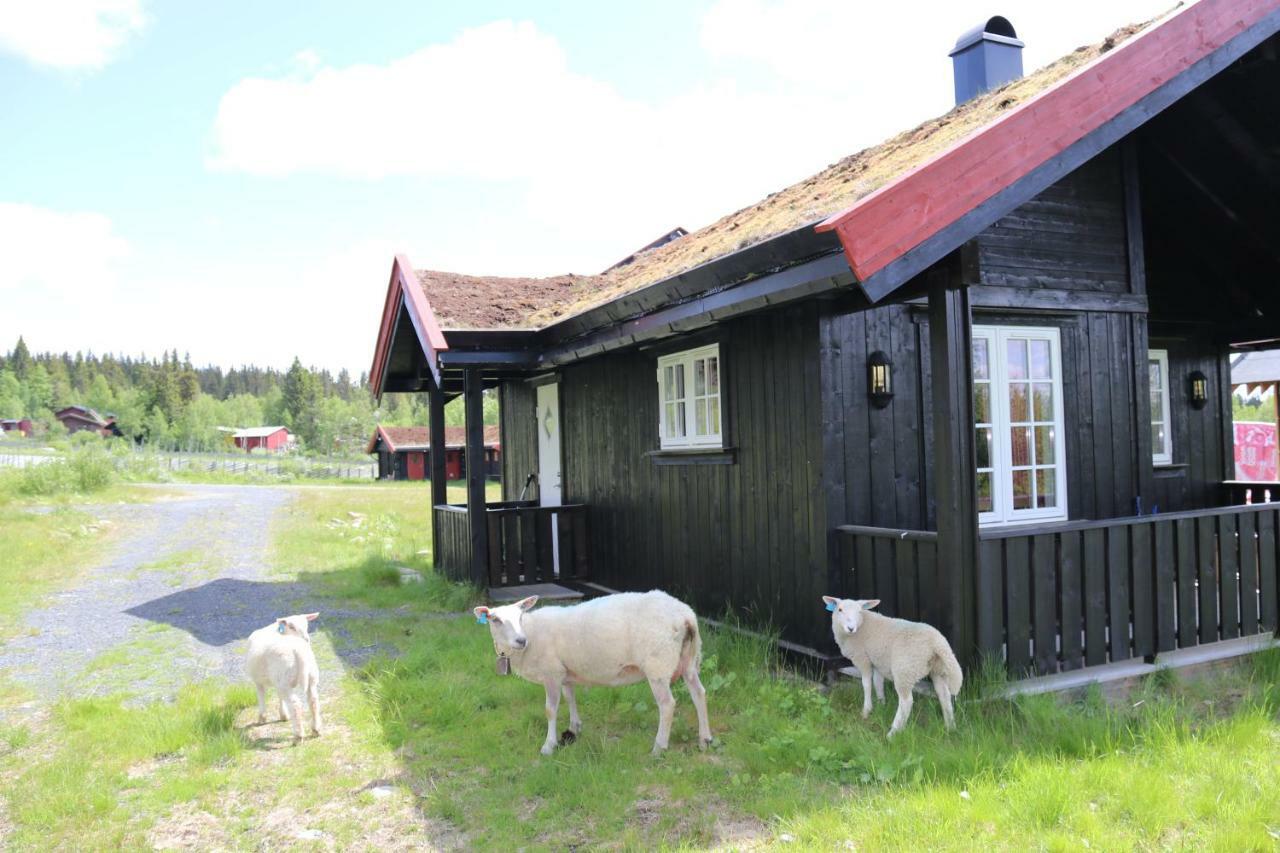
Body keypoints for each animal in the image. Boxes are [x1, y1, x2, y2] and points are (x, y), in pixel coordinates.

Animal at [473, 589, 716, 753]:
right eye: (495, 619)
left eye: (521, 616)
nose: (520, 640)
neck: (532, 632)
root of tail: (686, 615)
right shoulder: (564, 672)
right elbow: (570, 698)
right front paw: (574, 729)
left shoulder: (551, 673)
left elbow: (550, 710)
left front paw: (549, 745)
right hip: (689, 659)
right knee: (699, 693)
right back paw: (705, 739)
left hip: (658, 663)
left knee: (667, 705)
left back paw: (659, 747)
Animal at [819, 594, 962, 732]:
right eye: (840, 610)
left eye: (859, 611)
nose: (850, 628)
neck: (862, 626)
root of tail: (937, 643)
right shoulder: (877, 661)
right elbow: (878, 683)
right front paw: (881, 704)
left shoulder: (862, 659)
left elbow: (866, 684)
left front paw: (866, 710)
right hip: (938, 669)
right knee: (944, 696)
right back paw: (950, 727)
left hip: (904, 669)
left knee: (906, 701)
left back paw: (893, 732)